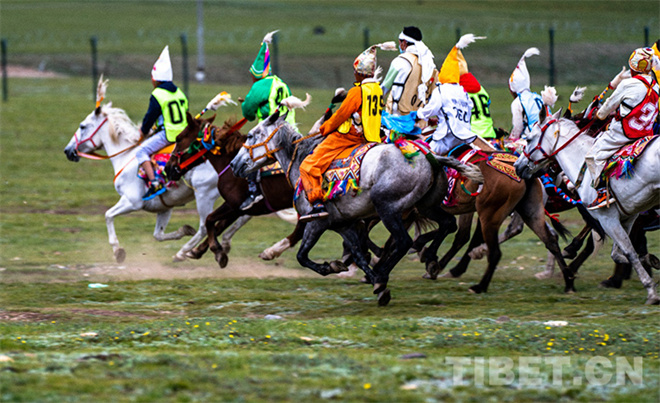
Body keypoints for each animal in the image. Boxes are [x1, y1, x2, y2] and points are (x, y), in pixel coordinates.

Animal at [65, 102, 224, 264]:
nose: (67, 150)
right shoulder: (165, 207)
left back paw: (183, 252)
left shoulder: (132, 202)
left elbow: (108, 215)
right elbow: (158, 235)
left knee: (204, 226)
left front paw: (118, 251)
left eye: (82, 126)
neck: (125, 156)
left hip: (204, 195)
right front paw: (183, 230)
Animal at [166, 112, 308, 268]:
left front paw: (218, 252)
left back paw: (271, 251)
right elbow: (218, 226)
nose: (167, 168)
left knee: (300, 229)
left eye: (178, 138)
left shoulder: (234, 203)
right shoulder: (238, 208)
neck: (230, 162)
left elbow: (210, 220)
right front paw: (197, 251)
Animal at [229, 97, 482, 306]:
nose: (233, 164)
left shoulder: (316, 223)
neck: (300, 160)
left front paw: (334, 267)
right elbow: (359, 255)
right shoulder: (344, 225)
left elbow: (303, 256)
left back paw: (390, 271)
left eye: (251, 135)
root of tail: (431, 157)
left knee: (403, 241)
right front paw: (375, 285)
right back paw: (429, 260)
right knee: (447, 224)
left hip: (387, 209)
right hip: (425, 206)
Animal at [516, 110, 660, 306]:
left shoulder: (608, 219)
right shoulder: (628, 217)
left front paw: (651, 292)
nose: (517, 166)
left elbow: (628, 251)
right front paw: (651, 261)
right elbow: (621, 253)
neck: (581, 162)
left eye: (529, 138)